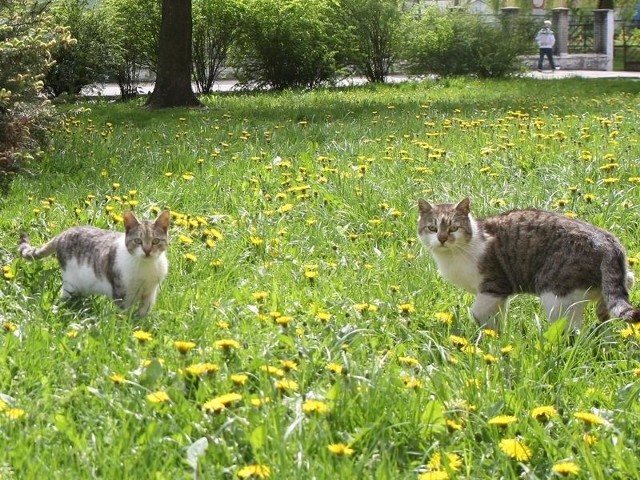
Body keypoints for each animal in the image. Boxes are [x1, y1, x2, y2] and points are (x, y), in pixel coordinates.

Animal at [19, 209, 170, 316]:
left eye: (155, 241)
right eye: (138, 241)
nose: (147, 251)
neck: (145, 267)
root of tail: (63, 233)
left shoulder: (150, 291)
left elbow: (145, 310)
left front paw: (141, 323)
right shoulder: (122, 294)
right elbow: (125, 313)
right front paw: (127, 326)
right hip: (70, 283)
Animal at [418, 198, 636, 330]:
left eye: (453, 228)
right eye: (432, 228)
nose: (442, 239)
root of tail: (606, 240)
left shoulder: (494, 287)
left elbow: (478, 312)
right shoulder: (498, 297)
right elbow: (496, 318)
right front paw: (496, 336)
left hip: (555, 295)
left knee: (576, 331)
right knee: (625, 283)